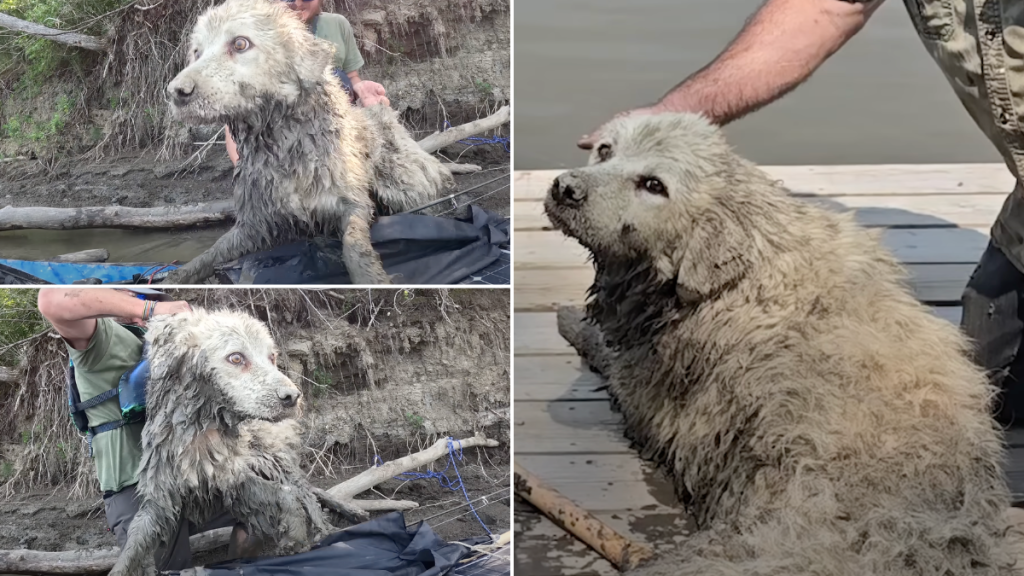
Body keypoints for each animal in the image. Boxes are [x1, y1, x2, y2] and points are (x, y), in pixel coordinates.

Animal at [103, 309, 366, 573]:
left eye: (272, 357)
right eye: (236, 358)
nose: (292, 397)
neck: (200, 432)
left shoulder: (233, 477)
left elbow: (287, 495)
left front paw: (295, 536)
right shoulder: (161, 497)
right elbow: (134, 543)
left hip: (273, 457)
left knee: (307, 492)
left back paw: (335, 523)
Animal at [162, 0, 452, 282]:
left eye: (240, 43)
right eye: (197, 52)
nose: (176, 92)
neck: (284, 147)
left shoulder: (351, 200)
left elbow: (354, 243)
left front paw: (371, 277)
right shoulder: (256, 221)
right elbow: (210, 253)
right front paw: (175, 277)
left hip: (403, 183)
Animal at [548, 109, 1019, 569]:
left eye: (653, 185)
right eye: (605, 150)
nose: (565, 188)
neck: (743, 265)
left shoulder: (645, 385)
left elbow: (603, 352)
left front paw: (571, 320)